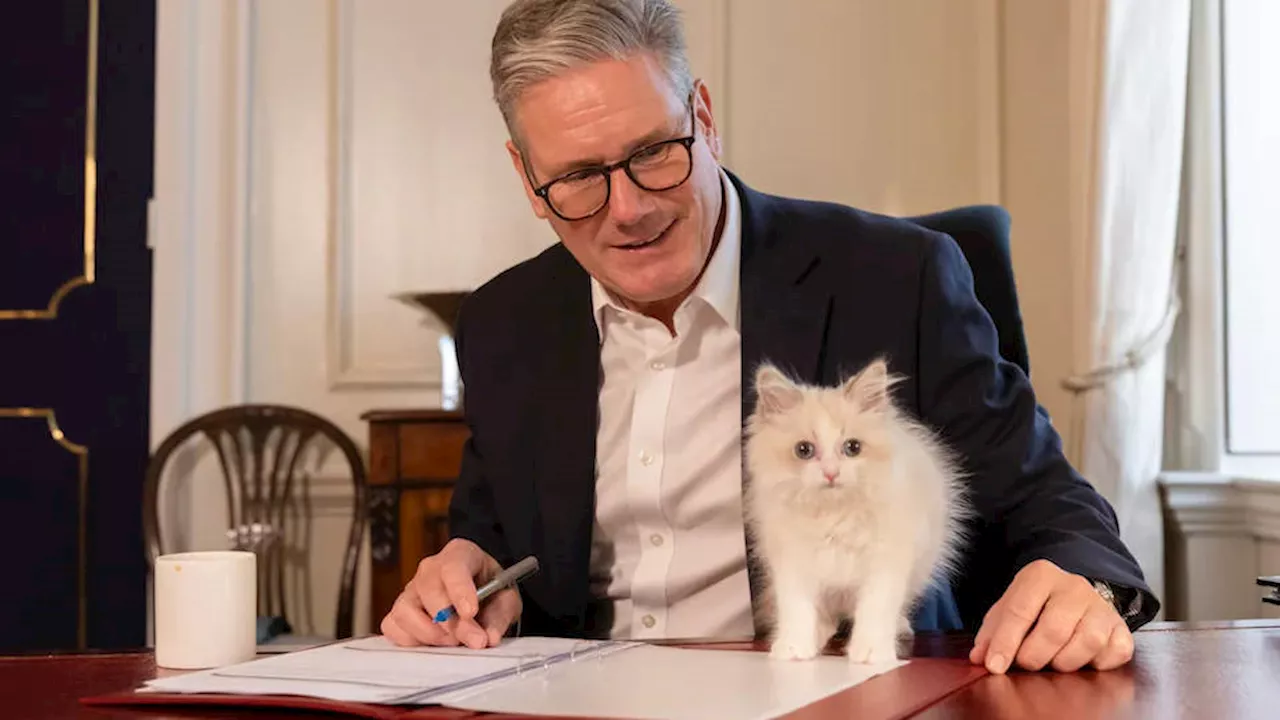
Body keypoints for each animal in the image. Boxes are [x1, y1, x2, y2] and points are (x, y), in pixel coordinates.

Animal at [747, 358, 962, 661]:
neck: (834, 516)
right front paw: (793, 647)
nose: (831, 473)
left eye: (853, 447)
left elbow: (875, 608)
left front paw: (871, 651)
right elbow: (797, 608)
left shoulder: (886, 561)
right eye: (804, 450)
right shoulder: (792, 562)